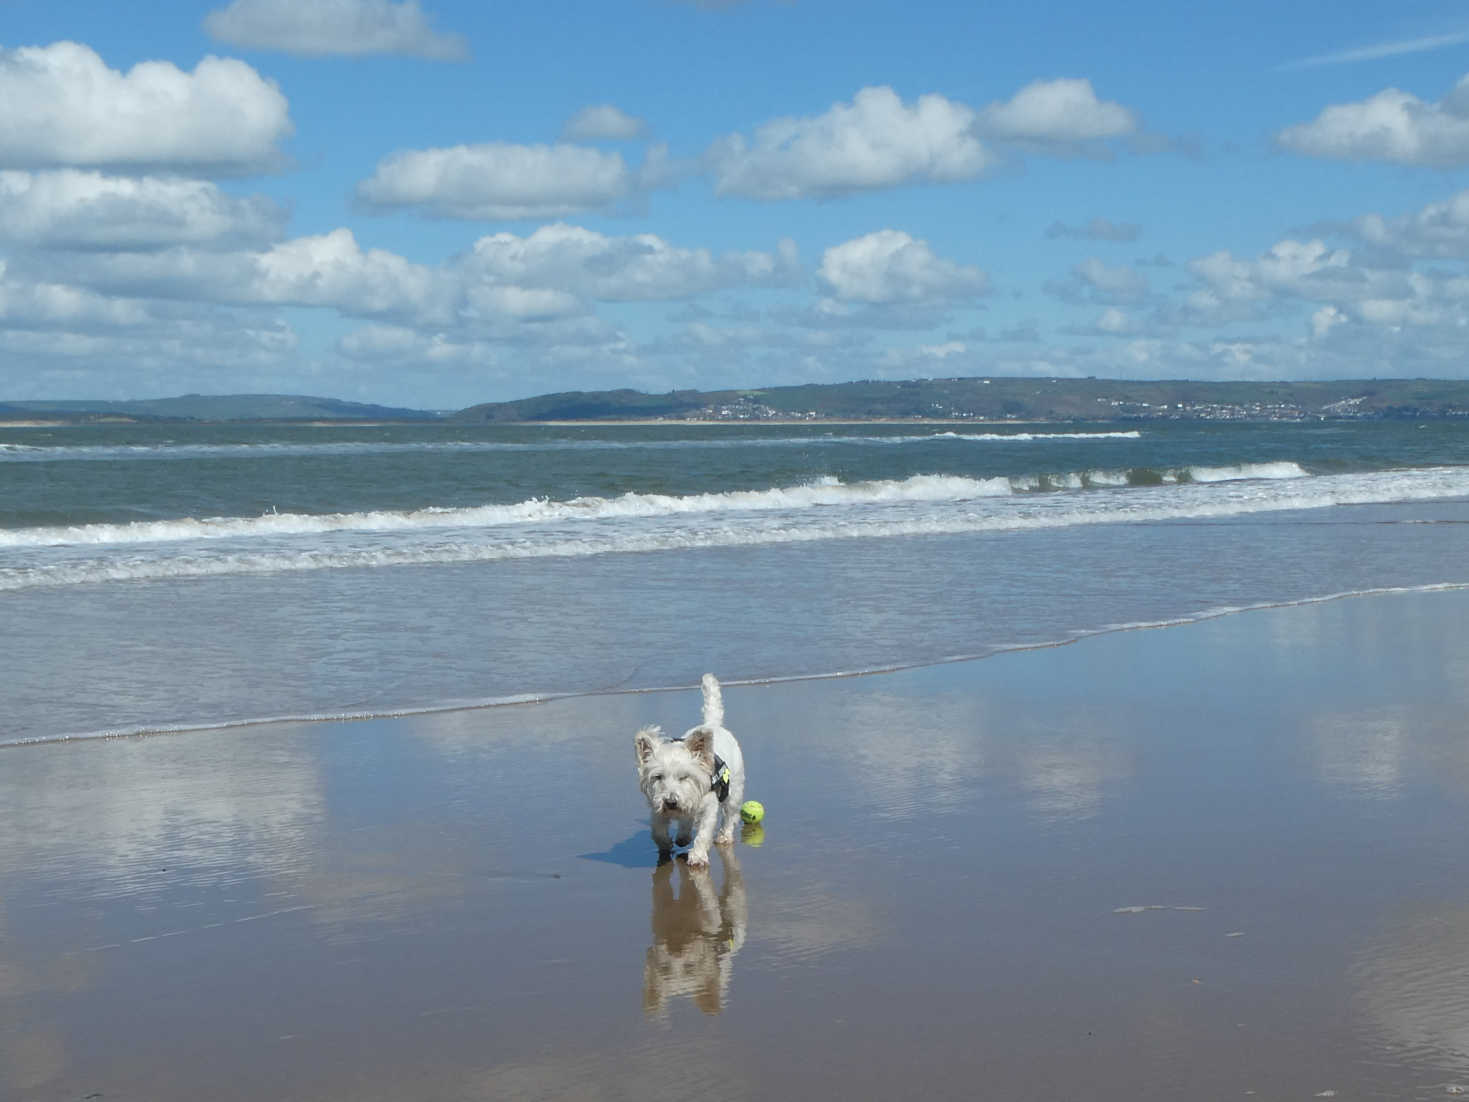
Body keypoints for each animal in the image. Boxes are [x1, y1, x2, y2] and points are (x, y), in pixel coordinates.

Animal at [631, 672, 746, 869]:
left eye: (685, 777)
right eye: (658, 777)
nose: (671, 802)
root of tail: (712, 725)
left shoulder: (709, 806)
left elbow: (704, 832)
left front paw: (698, 856)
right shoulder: (657, 807)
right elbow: (657, 831)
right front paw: (667, 844)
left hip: (734, 790)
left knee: (730, 814)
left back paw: (724, 836)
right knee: (687, 820)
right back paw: (683, 836)